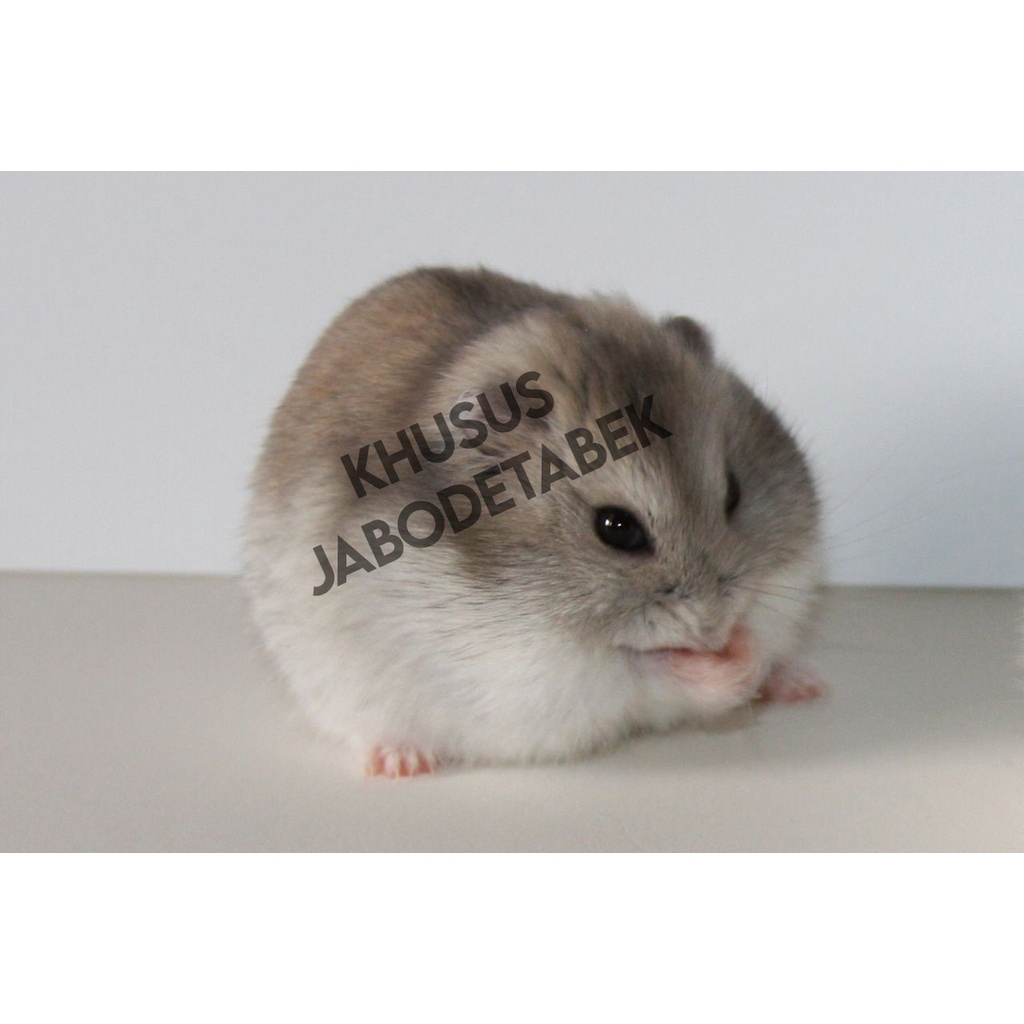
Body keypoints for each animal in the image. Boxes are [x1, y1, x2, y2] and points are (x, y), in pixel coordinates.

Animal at [244, 267, 824, 777]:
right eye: (617, 529)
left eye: (733, 493)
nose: (714, 628)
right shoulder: (539, 672)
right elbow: (645, 670)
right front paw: (726, 661)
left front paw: (748, 651)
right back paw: (399, 763)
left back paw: (804, 684)